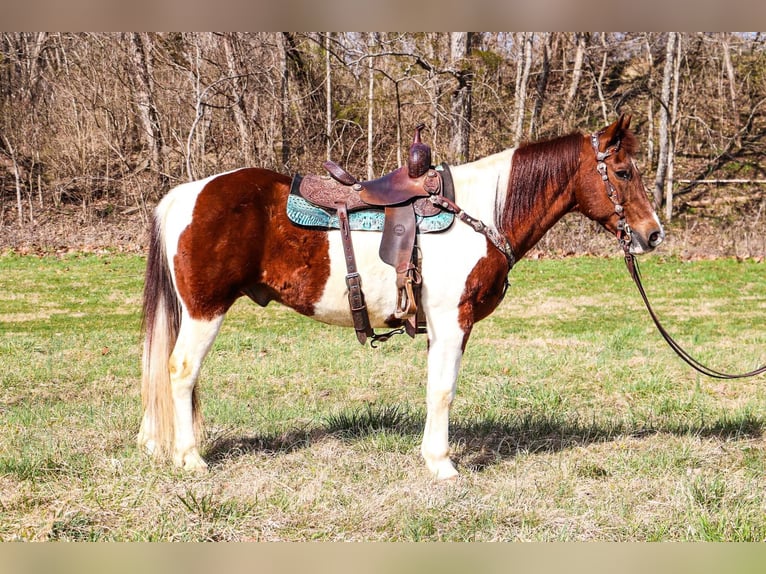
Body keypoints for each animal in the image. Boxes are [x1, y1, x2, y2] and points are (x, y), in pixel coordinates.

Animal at [140, 113, 664, 482]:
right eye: (622, 172)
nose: (653, 234)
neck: (481, 211)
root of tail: (185, 195)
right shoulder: (453, 321)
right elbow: (444, 390)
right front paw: (443, 464)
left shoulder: (440, 325)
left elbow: (436, 388)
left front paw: (432, 457)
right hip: (204, 311)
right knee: (181, 371)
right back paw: (190, 457)